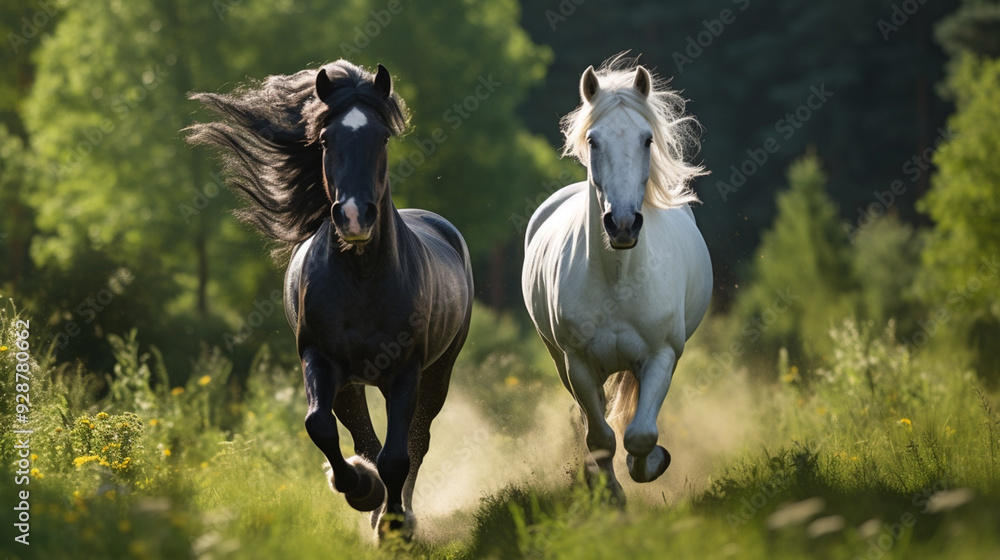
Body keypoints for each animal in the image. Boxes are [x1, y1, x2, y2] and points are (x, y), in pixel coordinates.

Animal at [186, 60, 474, 541]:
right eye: (324, 139)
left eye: (383, 137)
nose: (355, 216)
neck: (361, 281)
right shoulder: (320, 359)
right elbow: (321, 427)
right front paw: (362, 490)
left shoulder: (406, 370)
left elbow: (399, 454)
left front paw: (394, 524)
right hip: (353, 382)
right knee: (364, 435)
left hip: (439, 370)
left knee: (417, 438)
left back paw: (403, 515)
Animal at [521, 58, 713, 501]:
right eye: (593, 141)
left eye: (647, 140)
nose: (622, 224)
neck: (617, 278)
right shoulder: (578, 365)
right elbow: (601, 437)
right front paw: (611, 496)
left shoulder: (661, 356)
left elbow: (640, 434)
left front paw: (651, 463)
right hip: (562, 363)